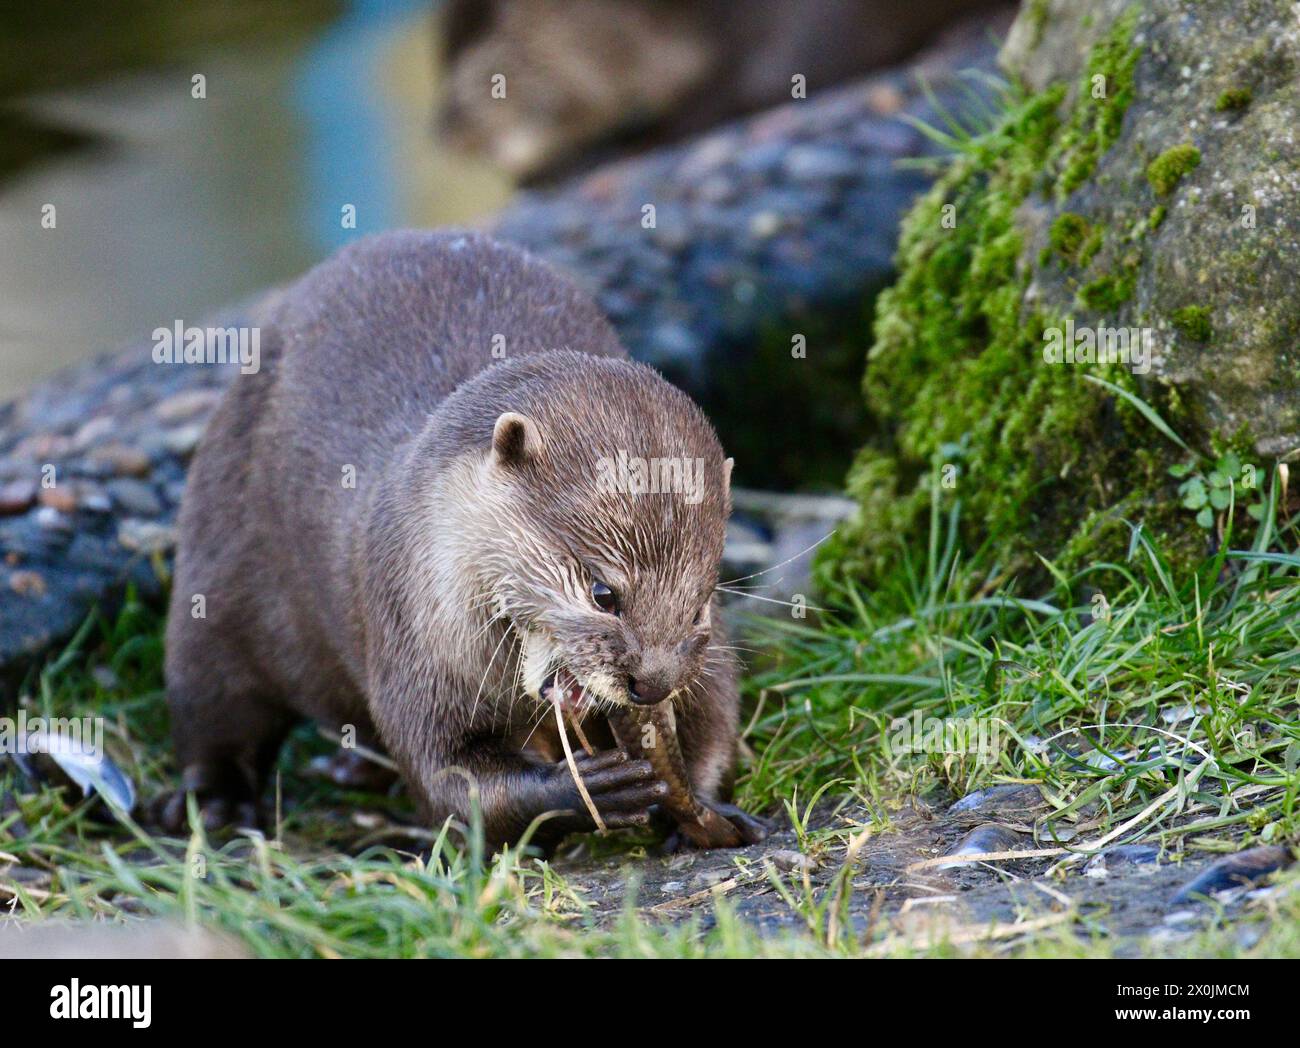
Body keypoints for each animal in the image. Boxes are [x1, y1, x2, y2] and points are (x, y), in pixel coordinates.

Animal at [162, 230, 769, 852]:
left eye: (699, 606)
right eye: (604, 593)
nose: (651, 684)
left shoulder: (706, 658)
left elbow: (714, 721)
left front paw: (704, 808)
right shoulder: (413, 635)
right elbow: (448, 777)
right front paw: (588, 792)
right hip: (216, 581)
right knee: (212, 705)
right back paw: (217, 804)